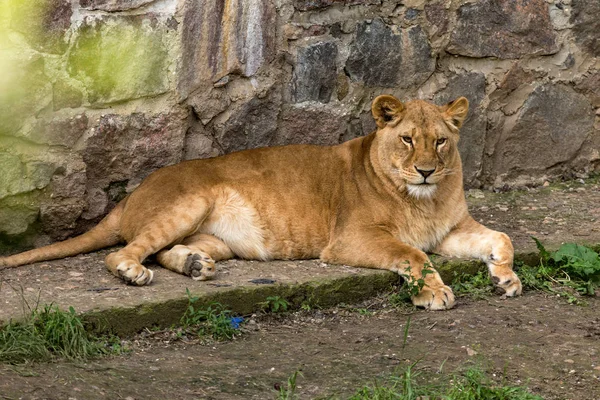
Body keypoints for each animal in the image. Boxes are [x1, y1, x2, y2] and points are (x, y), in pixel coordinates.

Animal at [0, 95, 520, 310]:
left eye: (440, 142)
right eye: (408, 139)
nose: (427, 170)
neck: (426, 198)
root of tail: (130, 196)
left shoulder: (451, 231)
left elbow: (501, 237)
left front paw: (506, 278)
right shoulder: (348, 240)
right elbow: (411, 254)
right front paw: (433, 293)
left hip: (219, 239)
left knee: (166, 249)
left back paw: (194, 265)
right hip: (190, 201)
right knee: (122, 253)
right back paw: (133, 272)